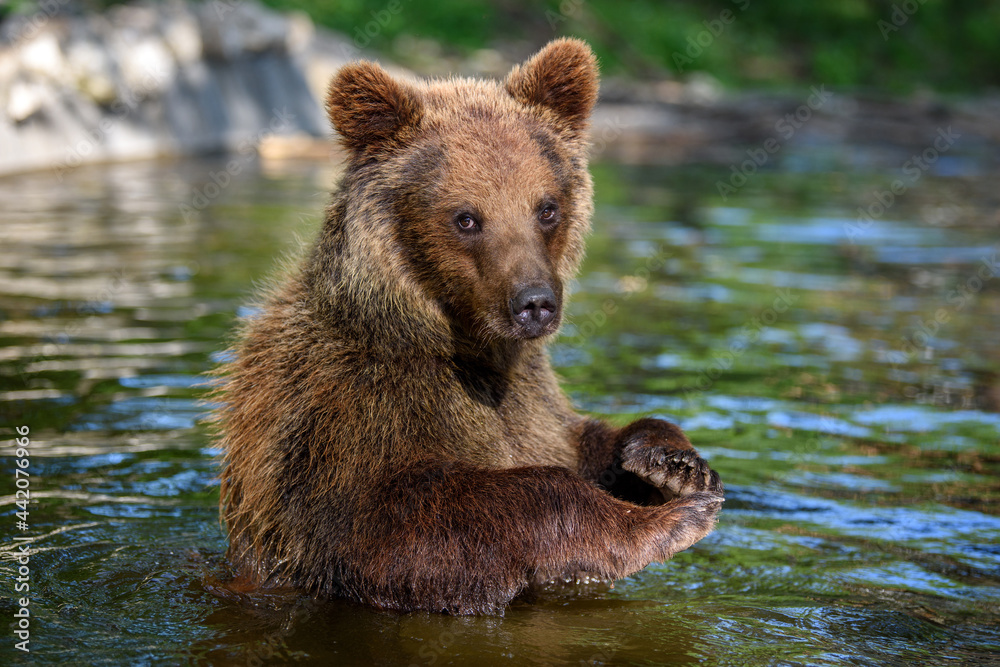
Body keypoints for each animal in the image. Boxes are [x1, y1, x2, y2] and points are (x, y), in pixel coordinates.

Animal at [214, 38, 723, 616]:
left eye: (546, 208)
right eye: (467, 217)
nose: (534, 303)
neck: (457, 342)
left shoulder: (529, 397)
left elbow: (575, 439)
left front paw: (673, 462)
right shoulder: (343, 409)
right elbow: (393, 534)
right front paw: (671, 520)